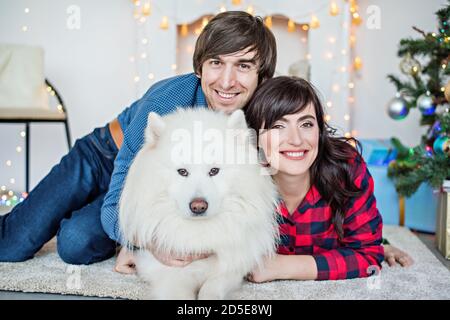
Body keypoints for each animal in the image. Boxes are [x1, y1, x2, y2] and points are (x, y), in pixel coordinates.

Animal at [121, 108, 280, 300]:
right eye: (182, 172)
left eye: (214, 171)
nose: (198, 206)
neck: (200, 233)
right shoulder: (170, 277)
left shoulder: (230, 272)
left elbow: (211, 289)